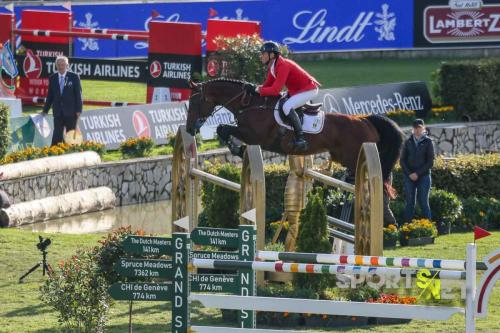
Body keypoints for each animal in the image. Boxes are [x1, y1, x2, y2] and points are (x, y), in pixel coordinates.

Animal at [185, 78, 402, 187]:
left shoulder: (254, 136)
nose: (188, 128)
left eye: (195, 102)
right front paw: (236, 148)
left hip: (355, 155)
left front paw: (237, 149)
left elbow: (223, 129)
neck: (251, 104)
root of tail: (365, 120)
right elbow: (222, 129)